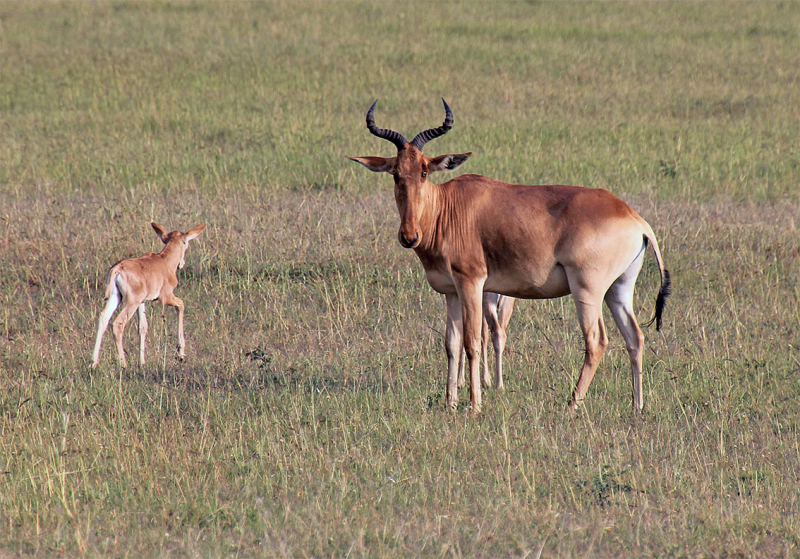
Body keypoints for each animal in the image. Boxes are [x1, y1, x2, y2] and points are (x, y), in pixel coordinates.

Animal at [90, 221, 206, 370]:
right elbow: (181, 304)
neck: (164, 260)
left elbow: (143, 327)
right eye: (186, 243)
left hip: (116, 297)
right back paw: (123, 364)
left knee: (103, 317)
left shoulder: (142, 302)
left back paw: (93, 363)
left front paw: (142, 362)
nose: (182, 264)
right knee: (118, 324)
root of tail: (118, 268)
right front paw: (180, 354)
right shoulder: (166, 298)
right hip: (131, 302)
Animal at [350, 99, 668, 416]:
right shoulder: (451, 292)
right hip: (619, 289)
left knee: (597, 341)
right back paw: (637, 405)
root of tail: (635, 219)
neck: (448, 208)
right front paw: (450, 403)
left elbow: (472, 342)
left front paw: (474, 405)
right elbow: (451, 344)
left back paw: (571, 404)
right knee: (634, 337)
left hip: (587, 290)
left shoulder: (472, 283)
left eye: (425, 172)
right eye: (395, 173)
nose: (409, 236)